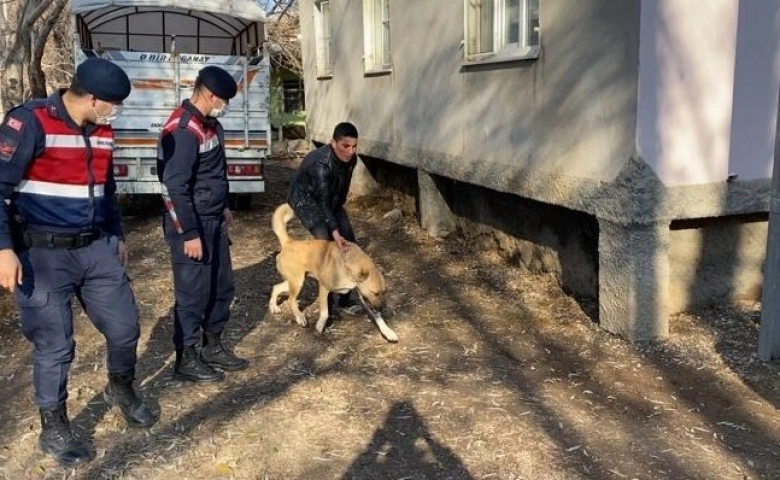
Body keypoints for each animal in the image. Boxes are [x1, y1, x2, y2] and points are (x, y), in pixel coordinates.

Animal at [272, 202, 400, 342]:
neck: (349, 265)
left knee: (276, 287)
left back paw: (274, 307)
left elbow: (378, 318)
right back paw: (300, 318)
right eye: (376, 293)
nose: (383, 308)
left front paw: (388, 332)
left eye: (385, 292)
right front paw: (320, 326)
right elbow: (325, 312)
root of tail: (288, 242)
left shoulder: (364, 296)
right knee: (291, 300)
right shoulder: (324, 287)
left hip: (296, 280)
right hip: (298, 283)